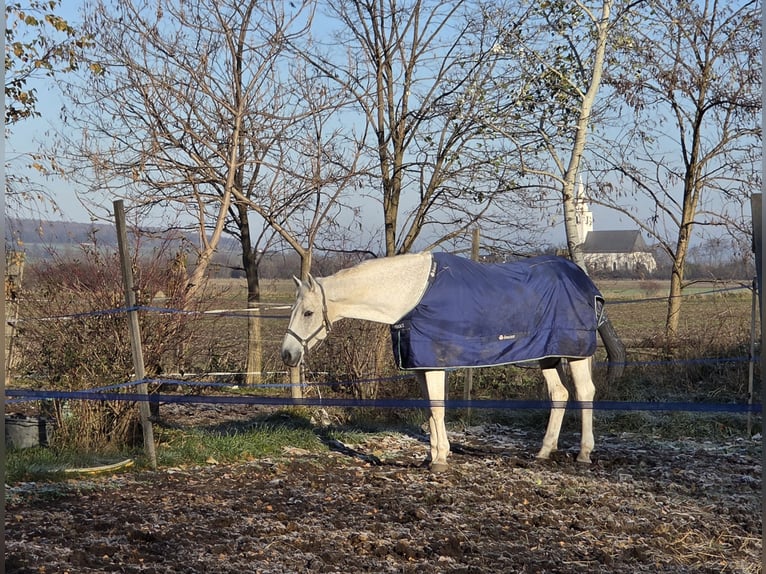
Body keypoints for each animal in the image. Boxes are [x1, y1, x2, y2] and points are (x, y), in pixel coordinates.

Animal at [281, 251, 617, 472]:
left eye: (308, 312)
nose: (288, 354)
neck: (412, 295)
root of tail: (585, 281)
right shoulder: (420, 365)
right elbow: (431, 411)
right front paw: (433, 456)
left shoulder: (433, 364)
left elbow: (437, 408)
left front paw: (440, 459)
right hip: (547, 355)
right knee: (559, 394)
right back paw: (544, 452)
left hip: (575, 353)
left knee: (584, 393)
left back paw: (584, 454)